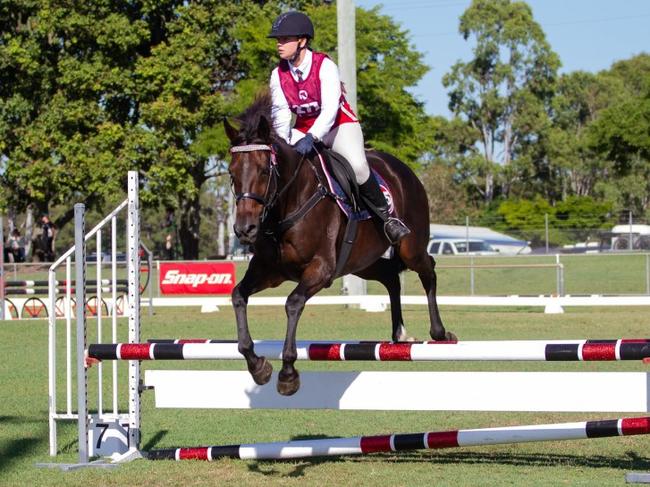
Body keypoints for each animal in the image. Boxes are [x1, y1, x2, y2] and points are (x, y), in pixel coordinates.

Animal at [225, 94, 454, 396]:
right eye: (231, 173)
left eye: (265, 171)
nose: (245, 229)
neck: (287, 204)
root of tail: (403, 170)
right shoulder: (269, 271)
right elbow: (238, 296)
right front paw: (258, 366)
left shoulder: (320, 270)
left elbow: (293, 303)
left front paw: (288, 375)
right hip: (362, 263)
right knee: (391, 277)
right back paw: (400, 334)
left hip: (410, 247)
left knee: (429, 270)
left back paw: (440, 332)